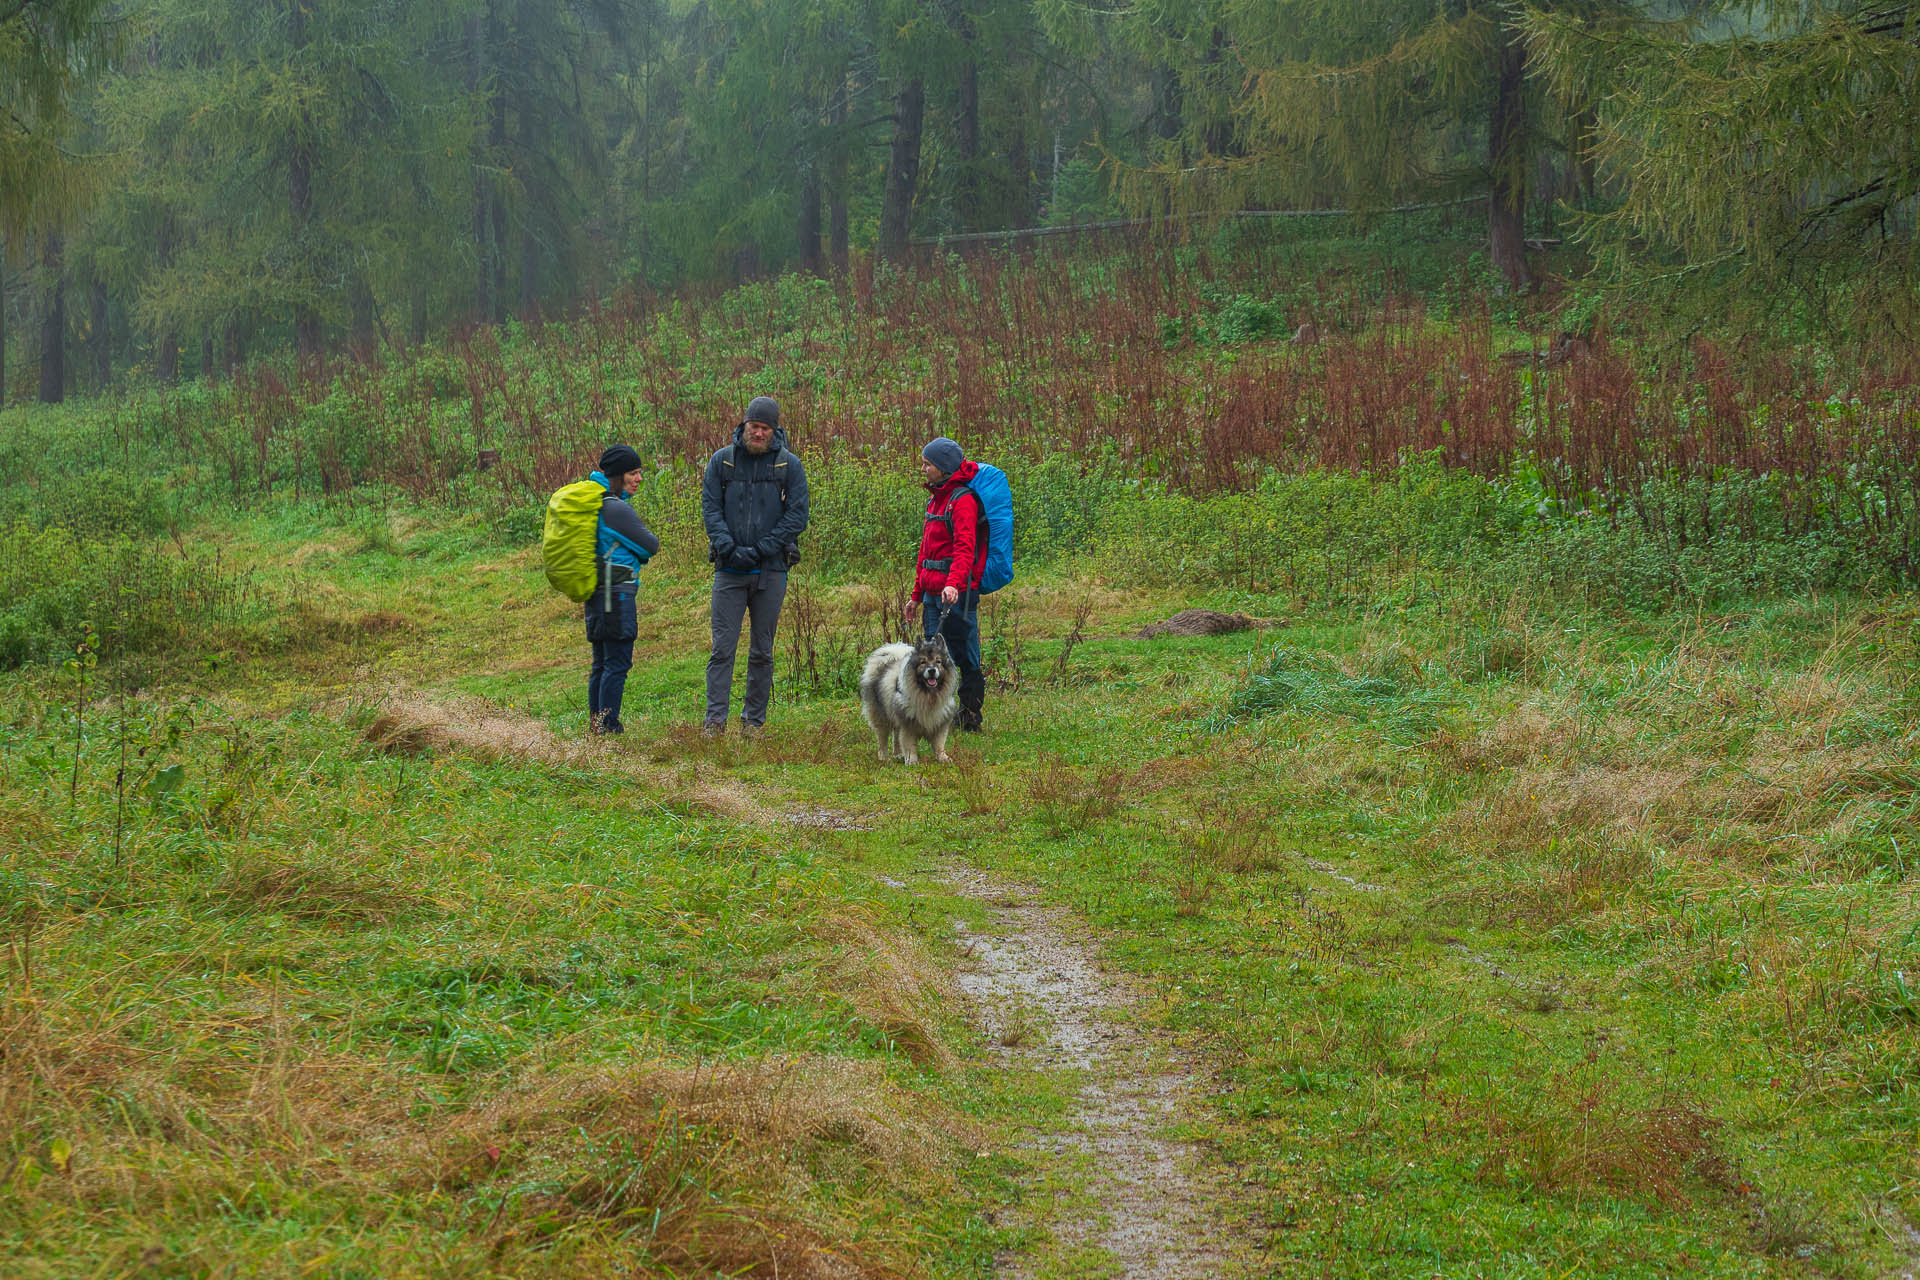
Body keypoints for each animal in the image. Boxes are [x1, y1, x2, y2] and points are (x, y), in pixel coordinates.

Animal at [864, 637, 960, 767]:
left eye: (938, 661)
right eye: (923, 662)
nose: (931, 670)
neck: (928, 696)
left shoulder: (940, 720)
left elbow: (939, 743)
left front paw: (943, 758)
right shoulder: (908, 724)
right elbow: (909, 745)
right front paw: (912, 761)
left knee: (896, 736)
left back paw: (898, 754)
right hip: (881, 717)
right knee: (882, 739)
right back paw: (884, 758)